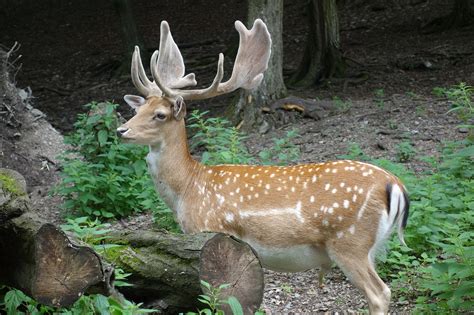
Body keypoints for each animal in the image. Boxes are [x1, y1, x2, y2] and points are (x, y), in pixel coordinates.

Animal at [116, 19, 410, 314]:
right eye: (137, 110)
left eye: (160, 115)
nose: (121, 130)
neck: (188, 187)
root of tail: (395, 185)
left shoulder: (210, 230)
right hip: (367, 247)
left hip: (350, 242)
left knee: (380, 292)